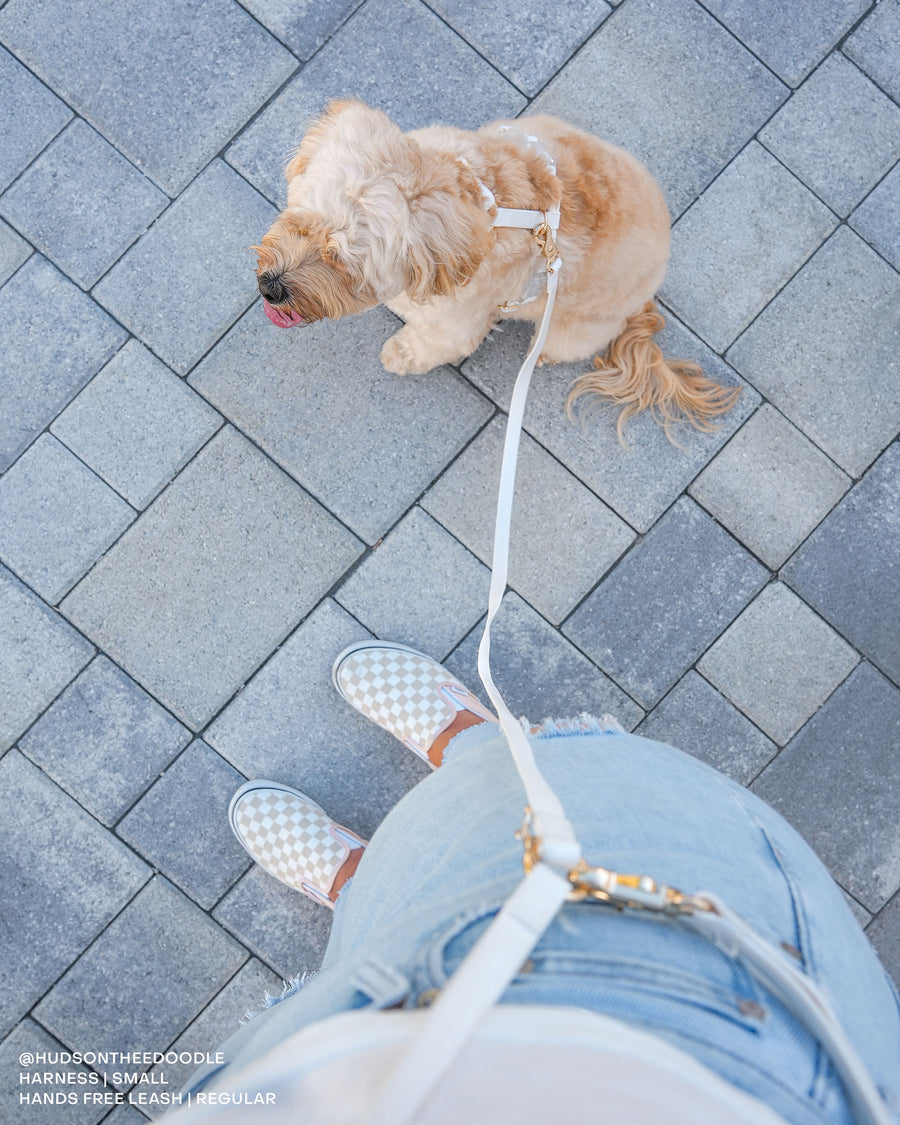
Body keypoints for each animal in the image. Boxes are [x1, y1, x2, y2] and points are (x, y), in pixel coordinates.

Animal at [255, 101, 738, 436]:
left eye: (339, 263)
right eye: (299, 225)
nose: (271, 288)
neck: (481, 201)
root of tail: (646, 299)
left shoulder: (457, 321)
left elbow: (431, 342)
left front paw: (402, 352)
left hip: (573, 328)